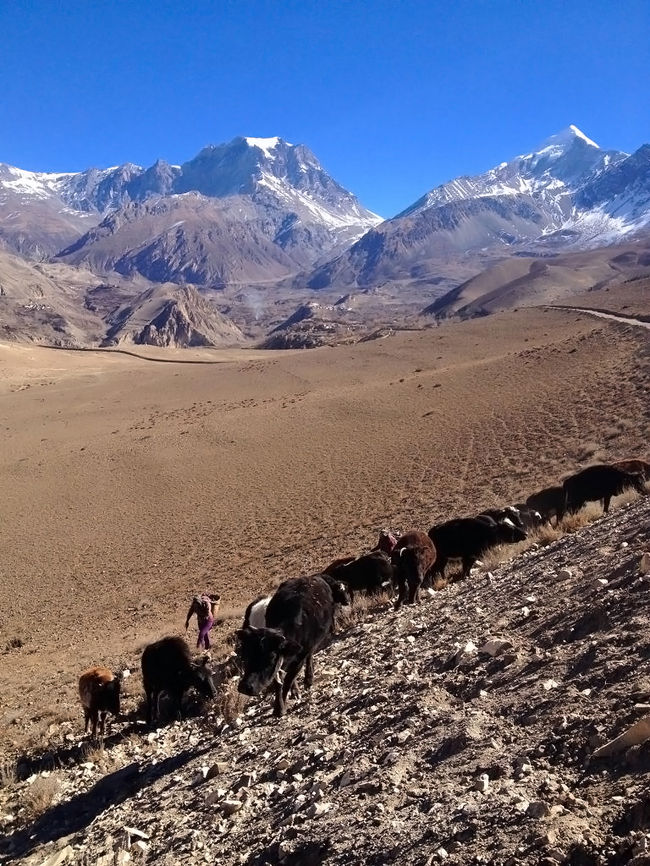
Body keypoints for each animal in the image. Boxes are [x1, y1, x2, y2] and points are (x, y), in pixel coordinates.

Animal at [234, 572, 344, 716]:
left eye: (271, 658)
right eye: (246, 654)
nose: (245, 687)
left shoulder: (299, 658)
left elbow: (287, 680)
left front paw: (281, 708)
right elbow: (278, 681)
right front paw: (279, 705)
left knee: (309, 656)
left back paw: (308, 679)